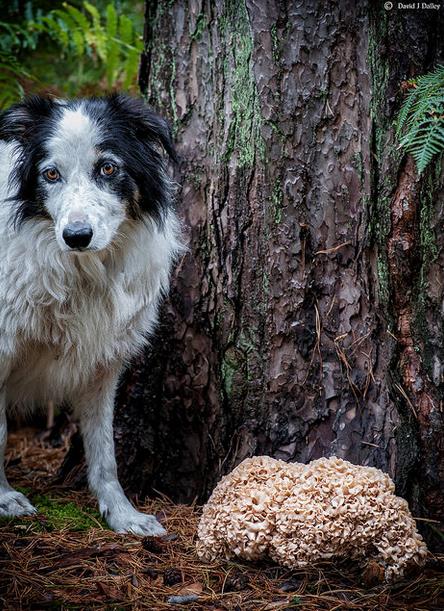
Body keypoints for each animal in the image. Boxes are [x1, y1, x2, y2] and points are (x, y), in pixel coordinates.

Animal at [0, 92, 182, 536]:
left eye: (108, 168)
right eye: (50, 174)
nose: (76, 236)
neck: (83, 271)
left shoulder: (102, 362)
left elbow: (104, 451)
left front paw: (122, 514)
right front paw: (4, 498)